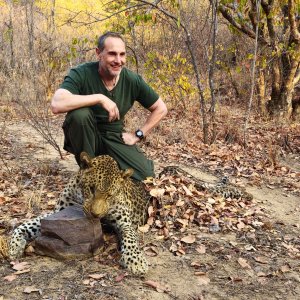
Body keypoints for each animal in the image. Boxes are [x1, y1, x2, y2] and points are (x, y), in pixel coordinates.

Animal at [7, 154, 150, 276]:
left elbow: (130, 238)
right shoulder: (58, 213)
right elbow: (27, 224)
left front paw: (136, 261)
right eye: (91, 189)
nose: (95, 214)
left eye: (109, 195)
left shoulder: (124, 223)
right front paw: (14, 246)